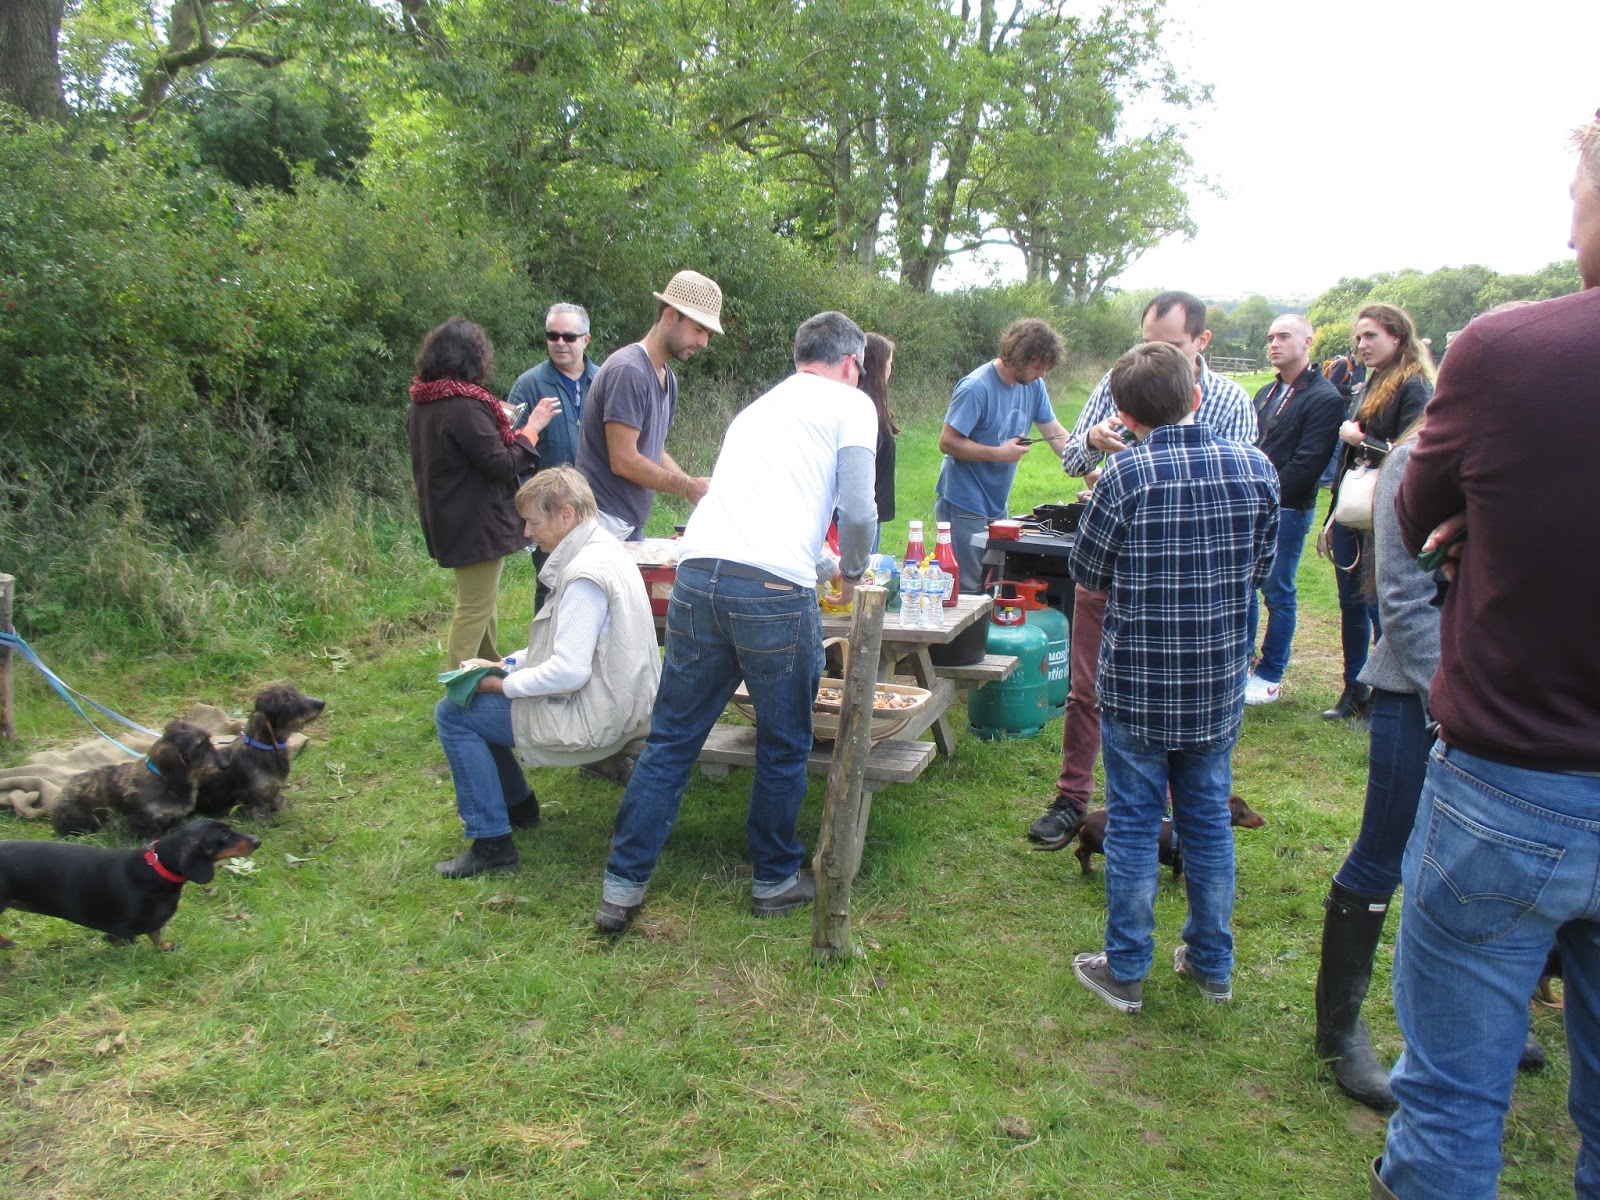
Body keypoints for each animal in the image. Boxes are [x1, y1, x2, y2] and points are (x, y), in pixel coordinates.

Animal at [0, 819, 261, 950]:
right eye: (224, 835)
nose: (258, 840)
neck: (156, 869)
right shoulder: (124, 929)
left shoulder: (152, 922)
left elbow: (156, 934)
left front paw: (165, 946)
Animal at [52, 720, 224, 840]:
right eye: (198, 746)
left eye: (209, 741)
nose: (224, 764)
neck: (167, 779)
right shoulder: (145, 819)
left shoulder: (173, 816)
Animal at [194, 684, 326, 819]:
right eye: (286, 700)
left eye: (296, 692)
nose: (321, 703)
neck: (267, 749)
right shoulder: (253, 797)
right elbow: (260, 812)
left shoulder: (274, 790)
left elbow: (277, 802)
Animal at [1072, 794, 1266, 880]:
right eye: (1244, 811)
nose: (1264, 820)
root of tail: (1086, 819)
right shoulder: (1180, 857)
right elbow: (1179, 875)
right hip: (1098, 843)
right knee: (1082, 853)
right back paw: (1088, 871)